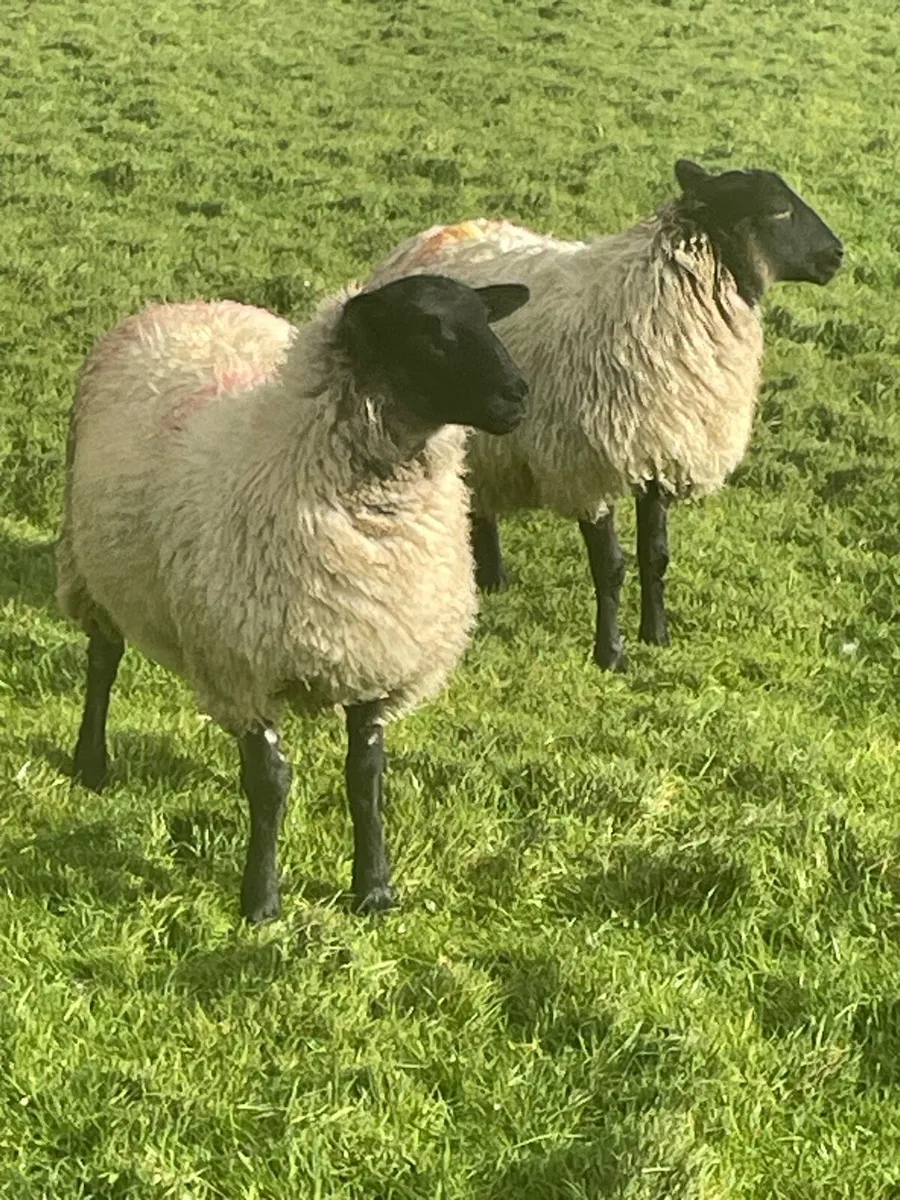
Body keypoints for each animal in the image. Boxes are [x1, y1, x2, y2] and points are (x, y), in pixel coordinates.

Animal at [56, 274, 530, 921]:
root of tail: (184, 305)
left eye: (485, 317)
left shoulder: (375, 655)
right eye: (428, 331)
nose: (519, 394)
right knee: (103, 661)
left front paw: (374, 889)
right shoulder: (245, 669)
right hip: (89, 567)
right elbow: (270, 785)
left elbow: (366, 777)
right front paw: (260, 901)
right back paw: (91, 762)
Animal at [366, 159, 843, 670]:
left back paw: (494, 578)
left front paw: (656, 635)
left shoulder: (658, 455)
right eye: (777, 210)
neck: (663, 301)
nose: (837, 255)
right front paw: (611, 654)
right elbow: (610, 567)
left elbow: (656, 556)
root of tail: (432, 235)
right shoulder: (588, 466)